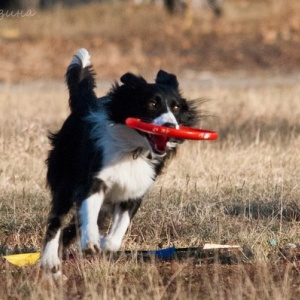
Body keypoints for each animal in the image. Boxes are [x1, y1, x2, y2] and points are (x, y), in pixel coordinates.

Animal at [40, 48, 197, 274]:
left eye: (176, 108)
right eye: (152, 103)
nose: (170, 126)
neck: (133, 149)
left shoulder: (136, 188)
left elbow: (119, 230)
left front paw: (104, 244)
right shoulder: (94, 178)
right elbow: (88, 211)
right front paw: (91, 242)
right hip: (65, 178)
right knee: (56, 219)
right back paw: (50, 260)